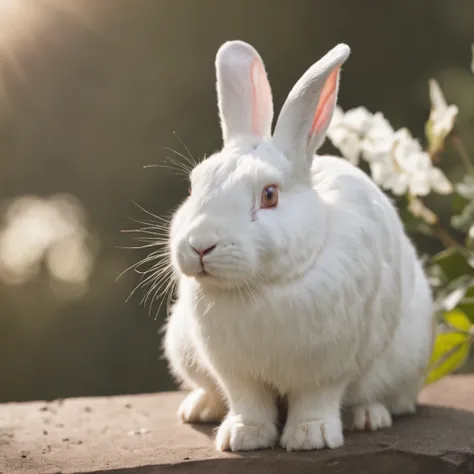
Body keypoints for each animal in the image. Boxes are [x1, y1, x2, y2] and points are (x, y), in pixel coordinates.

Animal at [162, 39, 434, 452]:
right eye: (193, 188)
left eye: (270, 195)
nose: (200, 246)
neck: (260, 288)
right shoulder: (236, 373)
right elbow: (247, 403)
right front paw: (242, 438)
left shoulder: (326, 368)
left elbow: (315, 400)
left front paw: (310, 437)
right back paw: (199, 409)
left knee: (387, 397)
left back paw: (369, 417)